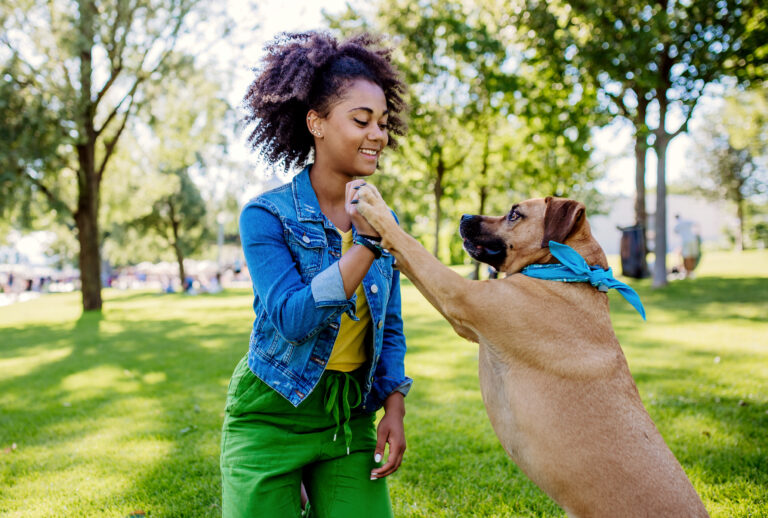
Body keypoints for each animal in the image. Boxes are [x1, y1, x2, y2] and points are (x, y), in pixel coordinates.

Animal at [354, 187, 708, 518]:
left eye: (515, 214)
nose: (465, 216)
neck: (561, 272)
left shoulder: (458, 294)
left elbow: (410, 244)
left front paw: (375, 206)